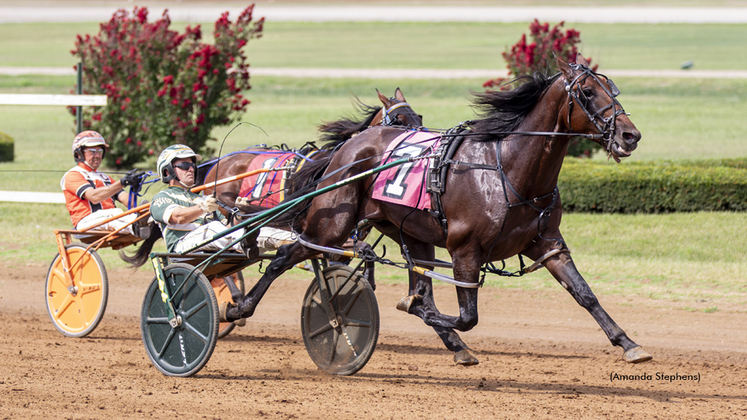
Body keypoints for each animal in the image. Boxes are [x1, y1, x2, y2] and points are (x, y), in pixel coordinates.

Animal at [225, 55, 652, 364]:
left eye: (612, 88)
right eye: (588, 91)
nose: (630, 135)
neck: (508, 168)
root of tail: (349, 146)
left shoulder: (547, 244)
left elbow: (584, 294)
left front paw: (628, 343)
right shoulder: (465, 251)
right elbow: (465, 316)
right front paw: (420, 312)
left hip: (411, 233)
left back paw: (454, 345)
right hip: (331, 226)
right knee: (286, 255)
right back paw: (238, 307)